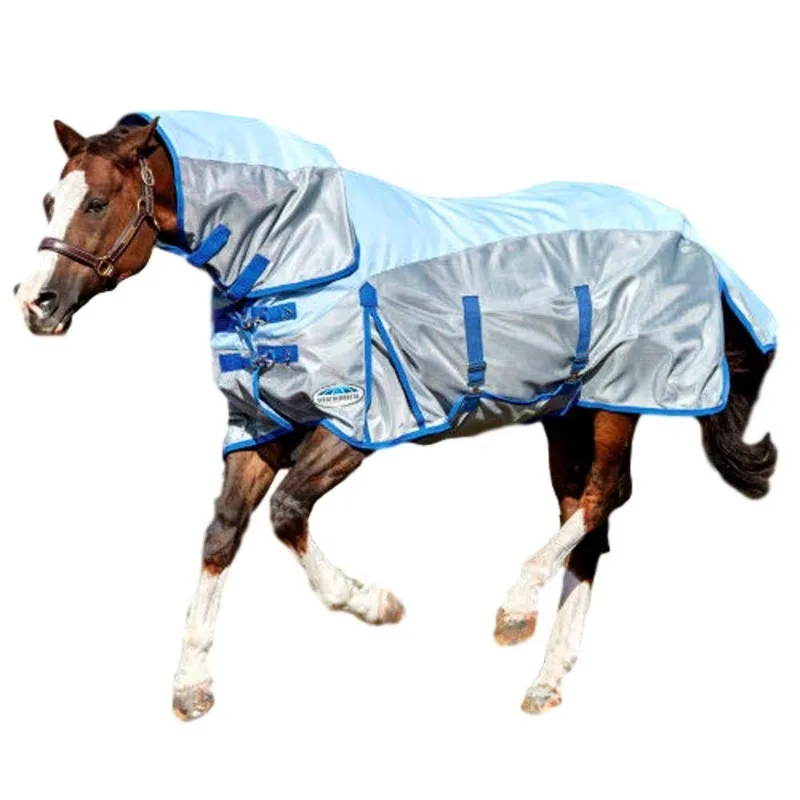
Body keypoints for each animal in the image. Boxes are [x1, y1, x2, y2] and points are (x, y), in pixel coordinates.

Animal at [14, 114, 777, 720]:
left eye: (98, 202)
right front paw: (191, 685)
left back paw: (515, 608)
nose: (34, 303)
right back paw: (545, 681)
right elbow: (223, 532)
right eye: (51, 199)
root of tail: (694, 239)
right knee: (585, 522)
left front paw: (374, 603)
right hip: (566, 412)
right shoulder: (260, 426)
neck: (295, 258)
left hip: (618, 401)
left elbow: (287, 513)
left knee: (601, 498)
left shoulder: (352, 422)